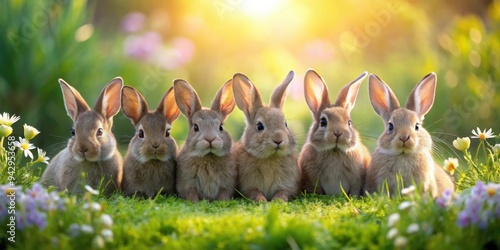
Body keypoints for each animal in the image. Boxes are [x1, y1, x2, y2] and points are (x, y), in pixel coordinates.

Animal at [231, 71, 298, 203]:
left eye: (285, 124)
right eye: (259, 126)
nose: (278, 139)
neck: (270, 158)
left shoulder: (287, 185)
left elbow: (283, 192)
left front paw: (278, 201)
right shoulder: (249, 187)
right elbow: (255, 193)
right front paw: (262, 201)